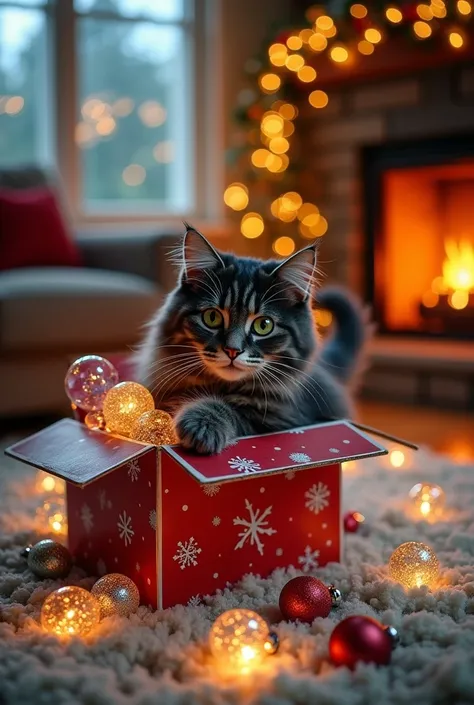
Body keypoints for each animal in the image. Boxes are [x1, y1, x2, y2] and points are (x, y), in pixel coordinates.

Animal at [133, 227, 366, 456]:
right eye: (212, 317)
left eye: (264, 325)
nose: (232, 350)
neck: (222, 386)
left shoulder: (282, 417)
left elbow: (232, 410)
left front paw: (201, 424)